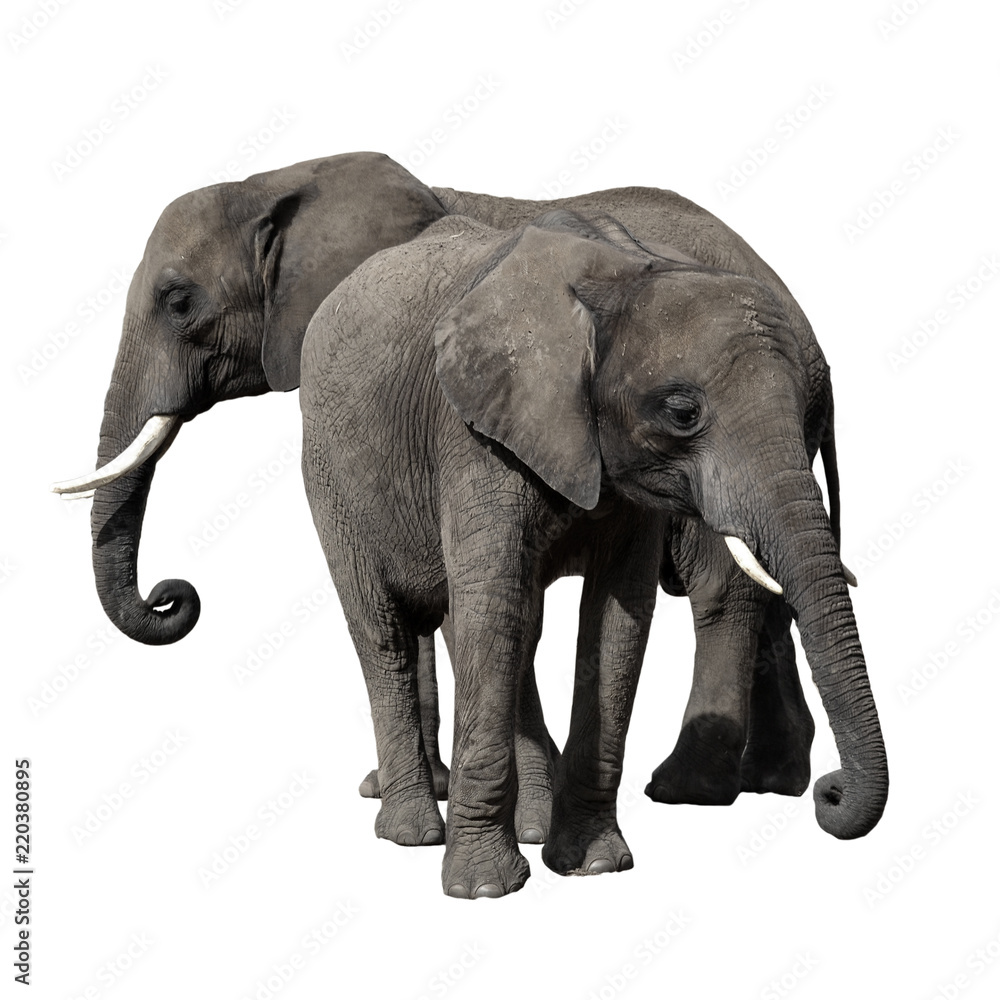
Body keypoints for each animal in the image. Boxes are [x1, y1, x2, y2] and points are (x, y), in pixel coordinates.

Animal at [298, 208, 887, 898]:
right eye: (682, 412)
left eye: (808, 418)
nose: (831, 793)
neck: (621, 275)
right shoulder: (472, 435)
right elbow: (490, 610)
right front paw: (485, 890)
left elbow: (617, 619)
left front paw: (593, 866)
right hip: (331, 481)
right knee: (385, 631)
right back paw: (411, 833)